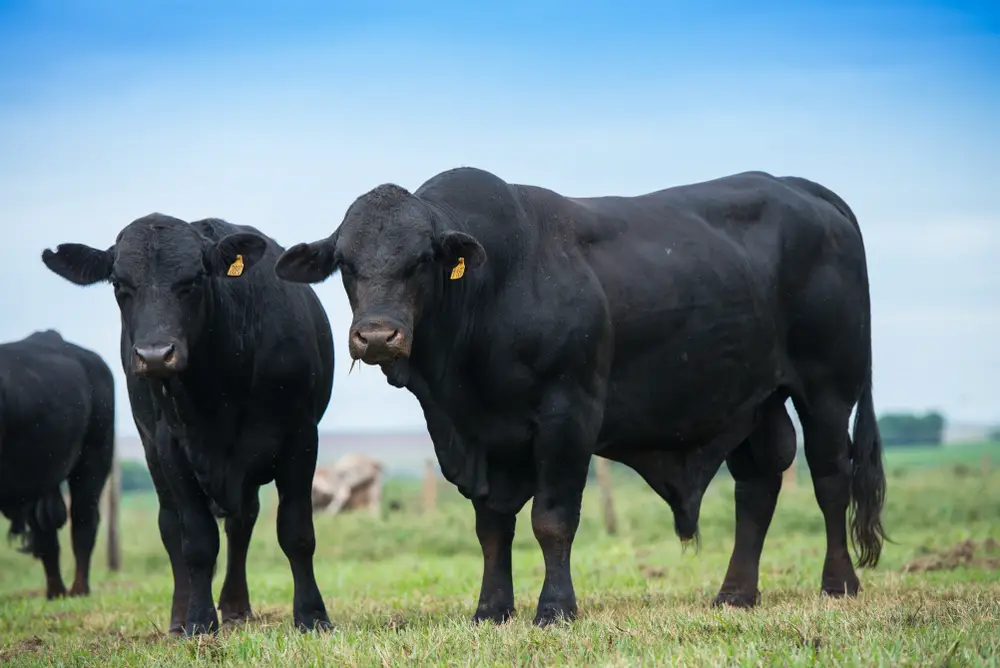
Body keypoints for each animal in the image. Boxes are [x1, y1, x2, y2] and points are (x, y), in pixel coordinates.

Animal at [0, 330, 117, 600]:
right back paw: (55, 592)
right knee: (46, 533)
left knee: (83, 522)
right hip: (42, 479)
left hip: (93, 460)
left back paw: (79, 589)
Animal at [41, 215, 336, 636]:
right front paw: (198, 620)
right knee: (172, 528)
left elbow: (295, 532)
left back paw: (236, 606)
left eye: (193, 280)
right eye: (119, 284)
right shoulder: (172, 447)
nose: (154, 355)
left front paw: (312, 616)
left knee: (242, 522)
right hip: (154, 455)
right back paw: (180, 618)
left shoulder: (301, 436)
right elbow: (196, 541)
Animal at [276, 167, 892, 628]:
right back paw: (735, 593)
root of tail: (800, 187)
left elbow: (552, 519)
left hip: (828, 390)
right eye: (347, 265)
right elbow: (492, 527)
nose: (378, 336)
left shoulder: (567, 417)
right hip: (750, 400)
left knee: (830, 477)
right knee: (759, 484)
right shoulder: (477, 436)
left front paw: (555, 609)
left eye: (421, 260)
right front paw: (491, 609)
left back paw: (838, 583)